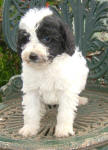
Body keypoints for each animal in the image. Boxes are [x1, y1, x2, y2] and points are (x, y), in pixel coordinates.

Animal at [16, 7, 89, 138]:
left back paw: (79, 99)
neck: (46, 67)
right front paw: (29, 128)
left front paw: (64, 129)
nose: (32, 56)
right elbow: (30, 111)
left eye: (47, 39)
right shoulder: (32, 91)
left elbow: (65, 112)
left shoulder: (66, 90)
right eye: (26, 39)